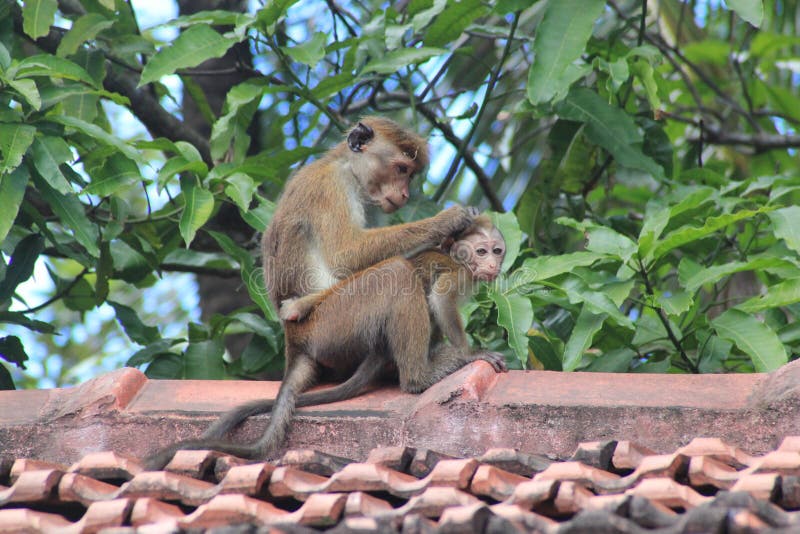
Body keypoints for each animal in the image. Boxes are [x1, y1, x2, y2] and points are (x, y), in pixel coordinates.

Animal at [148, 116, 478, 468]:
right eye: (401, 169)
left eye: (409, 174)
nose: (403, 194)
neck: (343, 165)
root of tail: (294, 341)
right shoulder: (331, 187)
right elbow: (347, 254)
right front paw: (447, 221)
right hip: (332, 325)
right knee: (395, 273)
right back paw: (421, 376)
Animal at [282, 214, 506, 376]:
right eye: (481, 252)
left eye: (497, 251)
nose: (492, 265)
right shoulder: (459, 275)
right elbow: (441, 300)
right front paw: (469, 353)